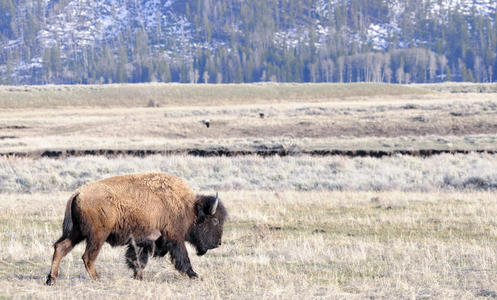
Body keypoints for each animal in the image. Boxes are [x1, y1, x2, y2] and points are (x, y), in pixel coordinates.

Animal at [44, 172, 227, 284]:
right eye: (215, 220)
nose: (218, 243)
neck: (186, 206)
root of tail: (78, 193)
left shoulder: (143, 241)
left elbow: (137, 260)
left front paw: (138, 277)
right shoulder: (174, 238)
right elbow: (183, 258)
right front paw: (195, 276)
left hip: (77, 233)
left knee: (60, 247)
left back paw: (51, 279)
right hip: (97, 236)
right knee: (87, 257)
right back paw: (97, 278)